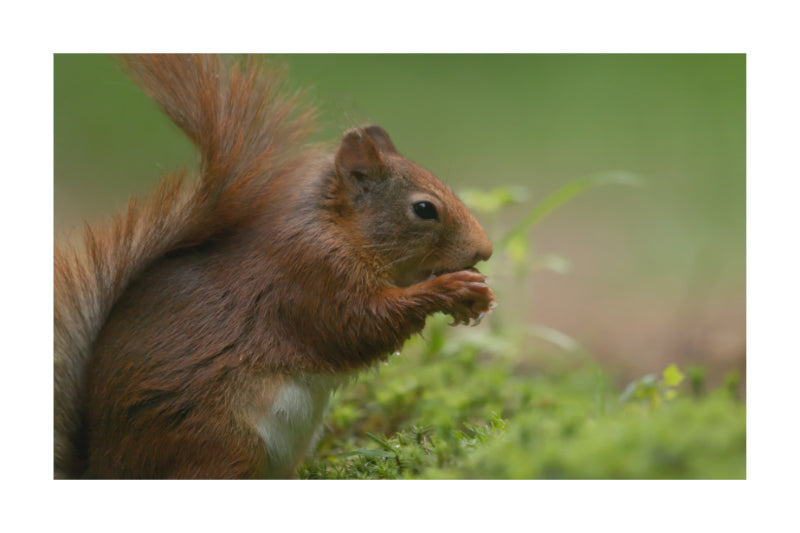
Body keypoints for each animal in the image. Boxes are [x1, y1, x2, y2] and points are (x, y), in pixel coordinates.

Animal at [54, 54, 495, 479]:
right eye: (424, 209)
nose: (485, 250)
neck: (341, 230)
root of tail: (103, 466)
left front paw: (474, 295)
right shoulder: (310, 275)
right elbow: (358, 324)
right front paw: (451, 289)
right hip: (221, 439)